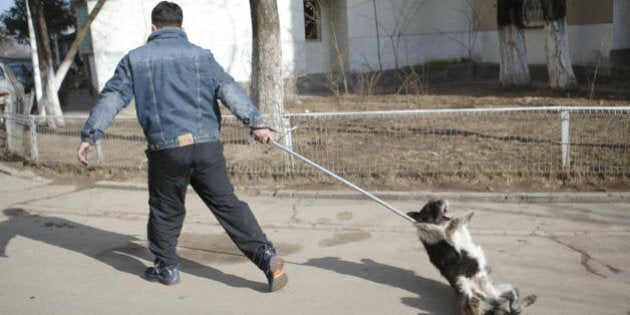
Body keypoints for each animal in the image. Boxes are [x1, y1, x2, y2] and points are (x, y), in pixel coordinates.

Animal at [410, 201, 540, 314]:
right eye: (429, 208)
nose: (441, 201)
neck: (439, 226)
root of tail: (493, 303)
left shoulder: (463, 236)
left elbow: (459, 226)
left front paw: (466, 216)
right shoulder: (453, 254)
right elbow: (450, 232)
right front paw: (453, 224)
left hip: (508, 289)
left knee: (514, 308)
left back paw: (529, 300)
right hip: (462, 285)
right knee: (475, 310)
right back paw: (475, 304)